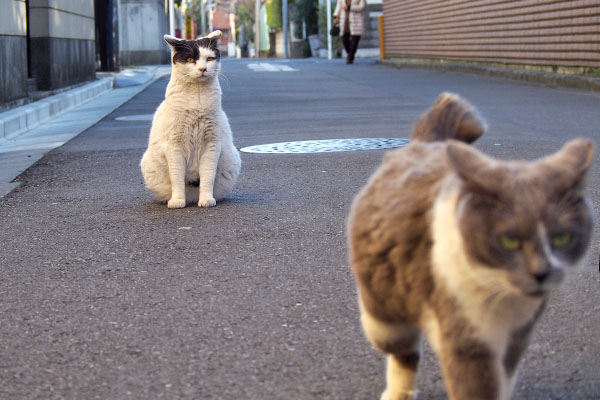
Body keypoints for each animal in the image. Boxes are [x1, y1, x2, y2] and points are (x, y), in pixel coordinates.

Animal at [141, 29, 241, 208]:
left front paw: (207, 200)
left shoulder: (212, 144)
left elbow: (208, 175)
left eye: (209, 58)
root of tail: (192, 197)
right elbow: (177, 177)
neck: (197, 100)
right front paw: (177, 201)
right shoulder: (174, 146)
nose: (202, 69)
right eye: (189, 59)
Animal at [346, 93, 596, 400]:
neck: (505, 299)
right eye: (510, 240)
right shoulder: (466, 334)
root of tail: (427, 143)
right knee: (401, 350)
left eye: (561, 237)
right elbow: (476, 385)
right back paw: (397, 393)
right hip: (384, 316)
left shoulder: (517, 338)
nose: (542, 271)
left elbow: (503, 380)